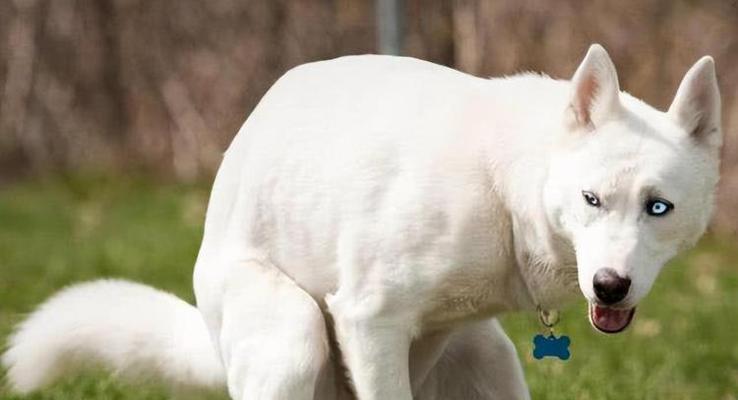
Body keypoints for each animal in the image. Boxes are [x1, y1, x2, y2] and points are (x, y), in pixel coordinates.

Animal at [1, 44, 720, 400]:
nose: (609, 287)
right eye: (591, 199)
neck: (503, 185)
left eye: (658, 208)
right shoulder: (368, 324)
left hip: (488, 361)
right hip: (291, 338)